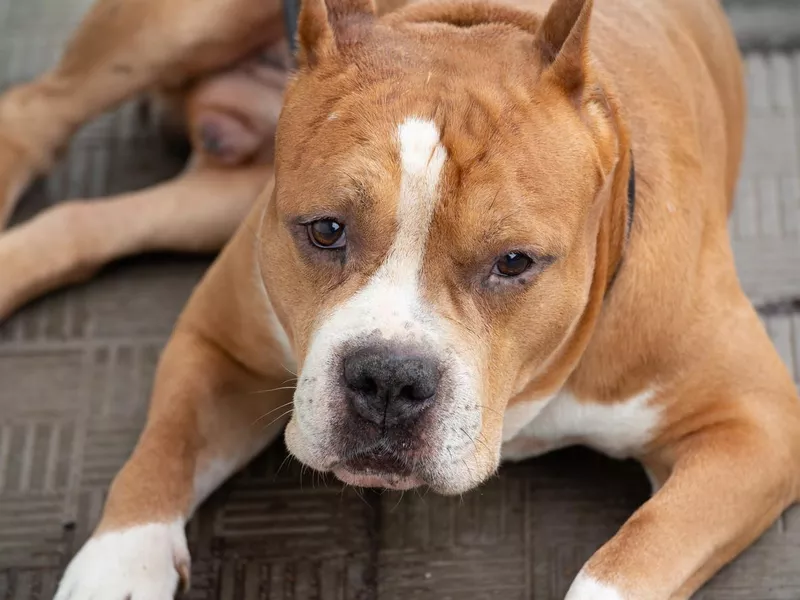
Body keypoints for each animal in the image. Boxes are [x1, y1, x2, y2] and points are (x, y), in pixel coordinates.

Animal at [1, 0, 800, 596]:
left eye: (514, 262)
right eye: (326, 230)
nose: (389, 379)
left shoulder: (756, 425)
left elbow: (628, 560)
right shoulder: (218, 339)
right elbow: (163, 447)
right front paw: (117, 567)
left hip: (218, 193)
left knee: (89, 218)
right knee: (37, 112)